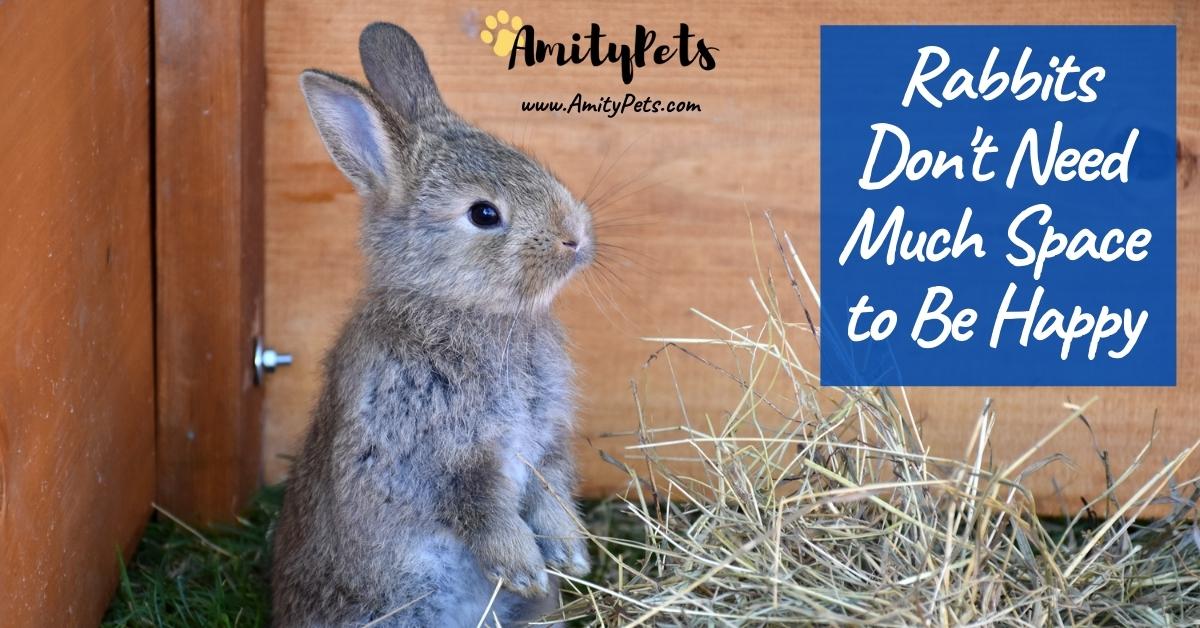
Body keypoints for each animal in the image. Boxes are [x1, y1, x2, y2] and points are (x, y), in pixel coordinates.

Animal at [270, 22, 594, 627]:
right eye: (484, 214)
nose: (575, 236)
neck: (459, 309)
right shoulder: (430, 454)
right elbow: (480, 509)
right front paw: (525, 566)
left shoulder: (546, 444)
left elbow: (552, 489)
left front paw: (570, 553)